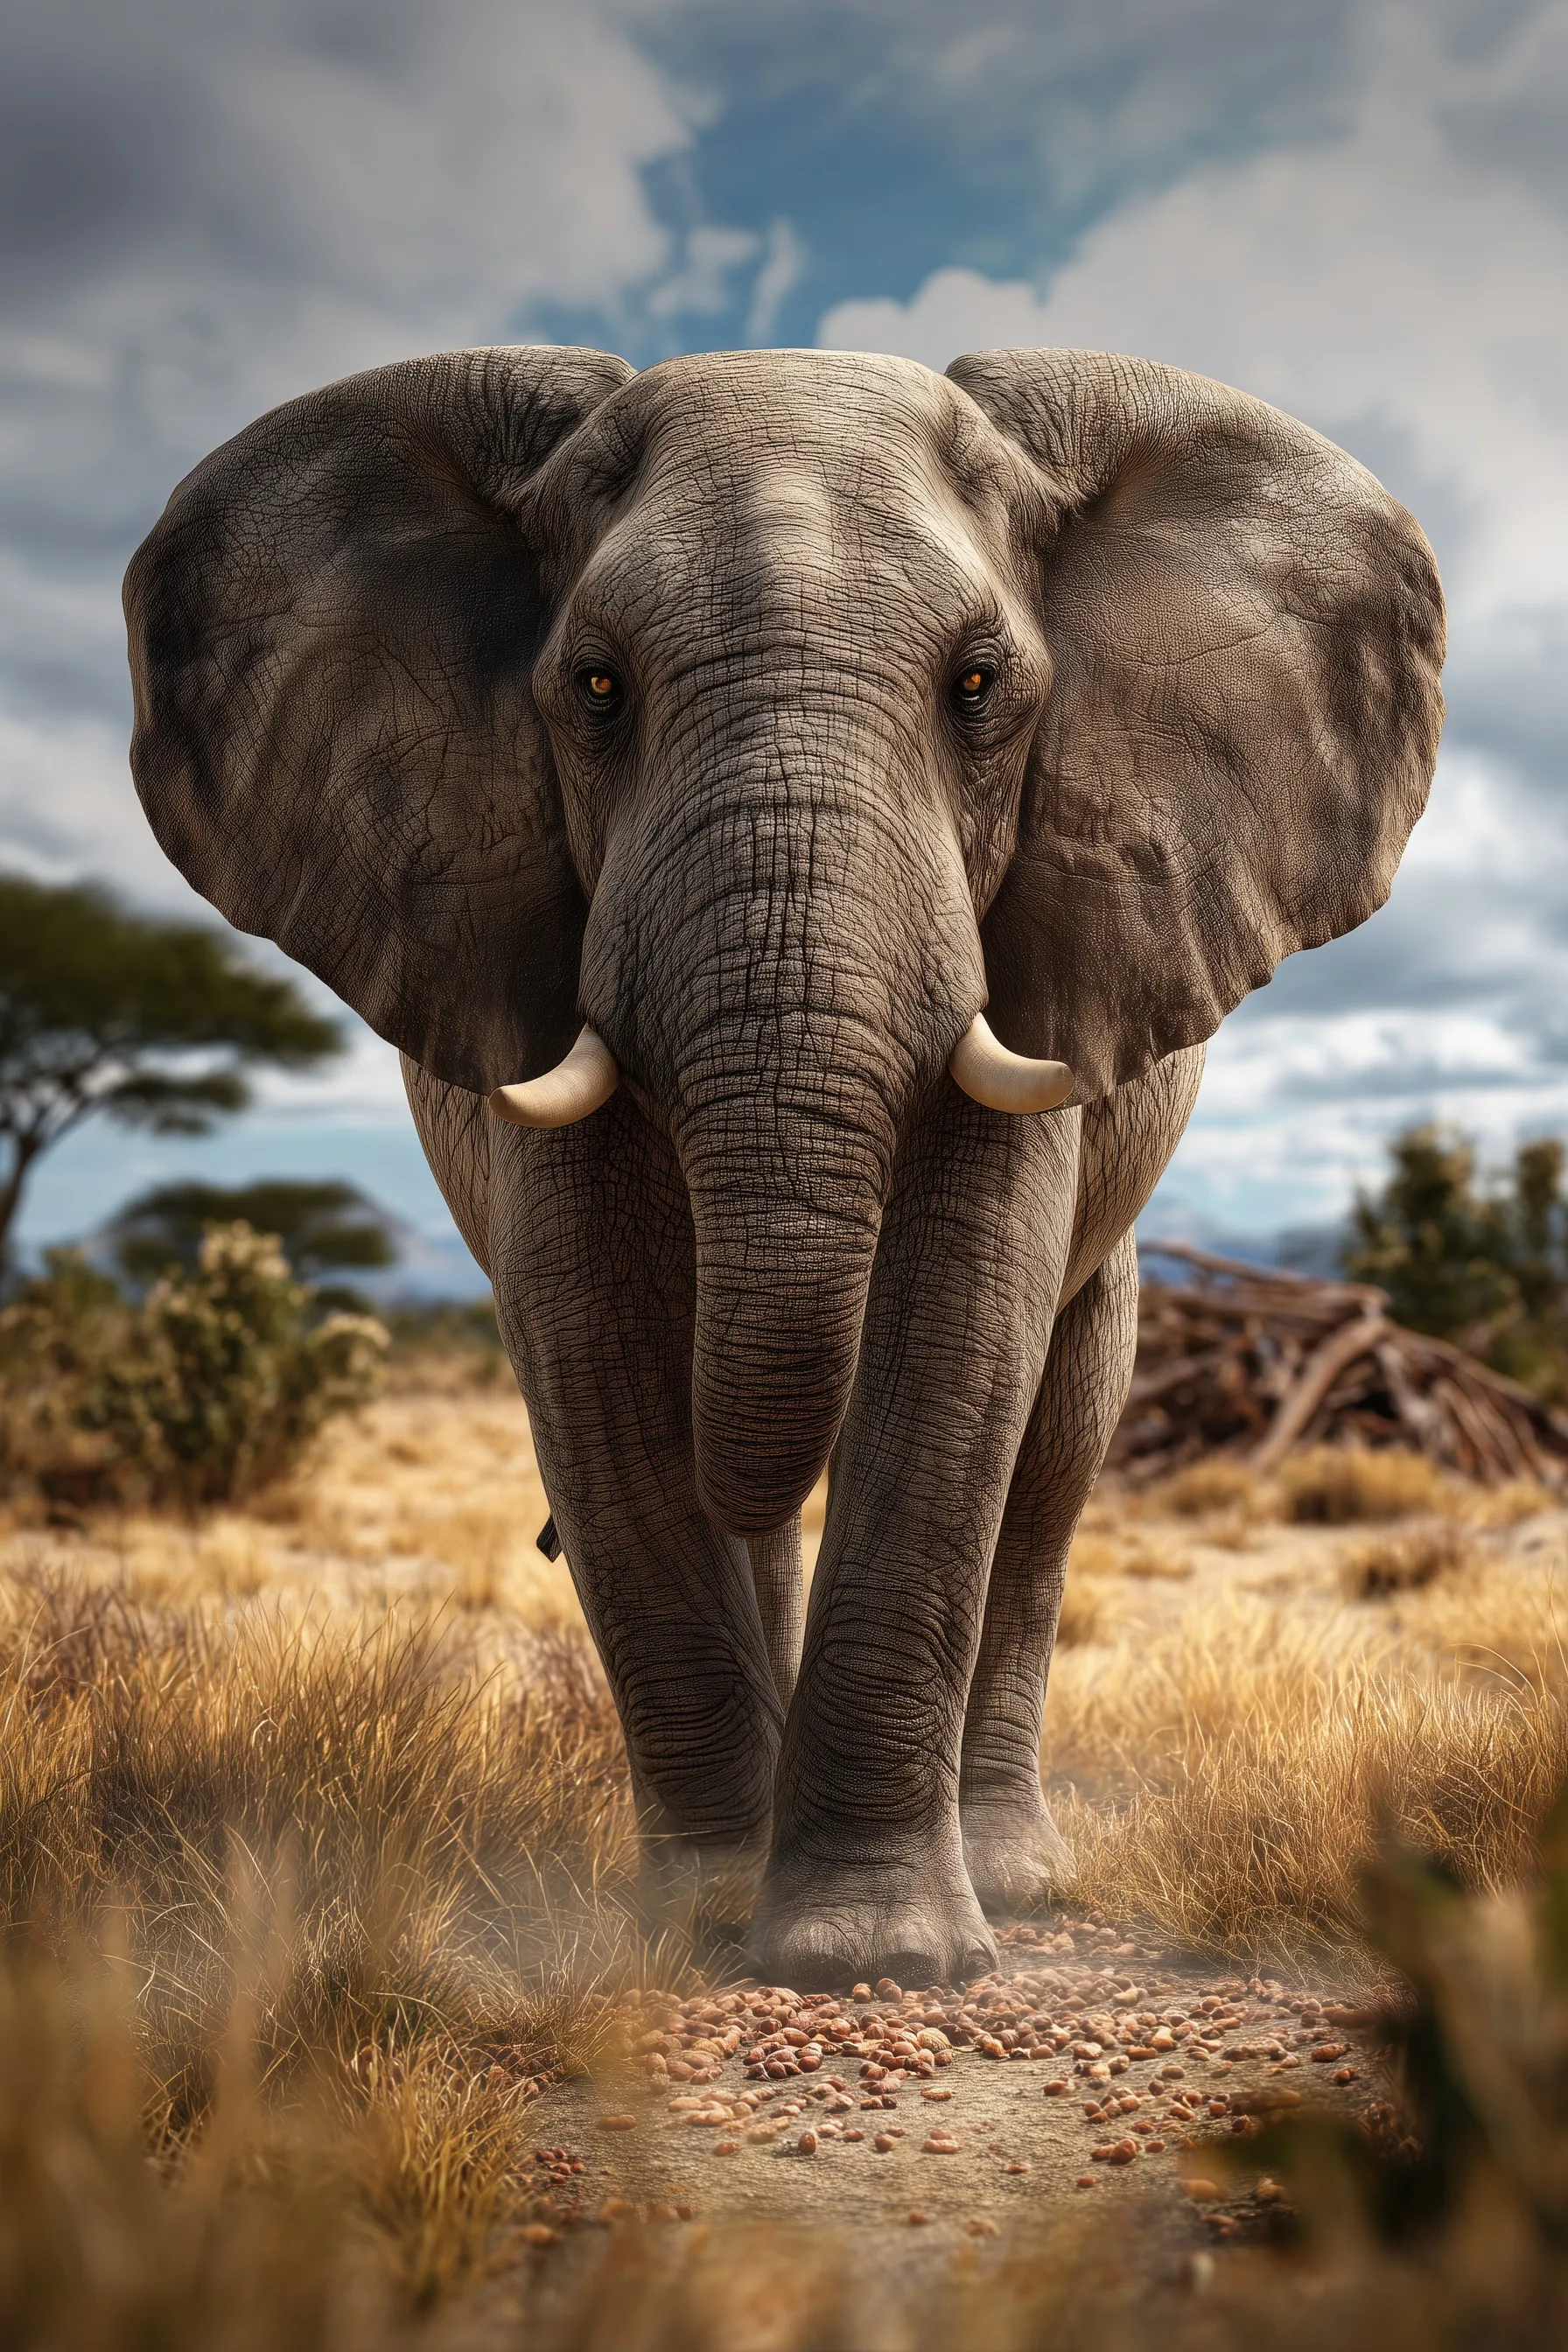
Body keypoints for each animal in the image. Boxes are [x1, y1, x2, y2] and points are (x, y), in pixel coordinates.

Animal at [123, 343, 1444, 1990]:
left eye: (978, 688)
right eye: (596, 686)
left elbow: (959, 1333)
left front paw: (868, 1955)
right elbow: (593, 1341)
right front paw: (703, 1914)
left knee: (1055, 1444)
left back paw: (1011, 1876)